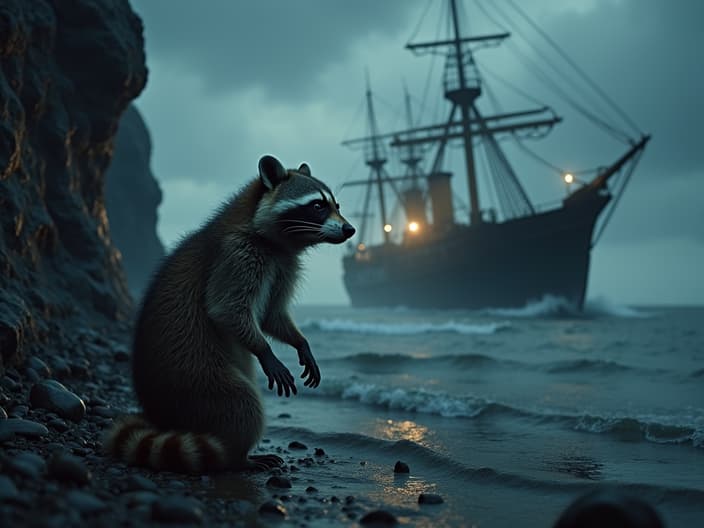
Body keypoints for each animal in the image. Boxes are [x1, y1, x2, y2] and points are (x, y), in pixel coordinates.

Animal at [103, 155, 358, 472]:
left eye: (337, 205)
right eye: (318, 206)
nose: (350, 230)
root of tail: (161, 414)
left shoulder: (283, 266)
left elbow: (271, 315)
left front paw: (300, 342)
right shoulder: (235, 257)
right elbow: (225, 309)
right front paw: (264, 349)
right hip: (196, 377)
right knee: (241, 403)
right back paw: (238, 455)